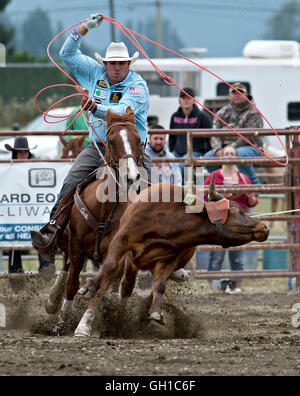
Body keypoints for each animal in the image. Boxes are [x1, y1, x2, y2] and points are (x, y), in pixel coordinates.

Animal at [46, 106, 144, 336]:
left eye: (138, 140)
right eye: (111, 141)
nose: (131, 177)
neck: (105, 207)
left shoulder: (114, 254)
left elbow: (102, 288)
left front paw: (84, 325)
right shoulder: (76, 246)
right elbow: (71, 283)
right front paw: (62, 322)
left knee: (124, 285)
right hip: (67, 240)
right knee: (65, 270)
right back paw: (53, 300)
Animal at [74, 176, 268, 338]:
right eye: (235, 209)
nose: (264, 227)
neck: (169, 222)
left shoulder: (168, 260)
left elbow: (159, 286)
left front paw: (155, 313)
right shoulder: (121, 241)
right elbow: (108, 269)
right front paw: (88, 290)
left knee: (135, 287)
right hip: (129, 260)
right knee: (122, 283)